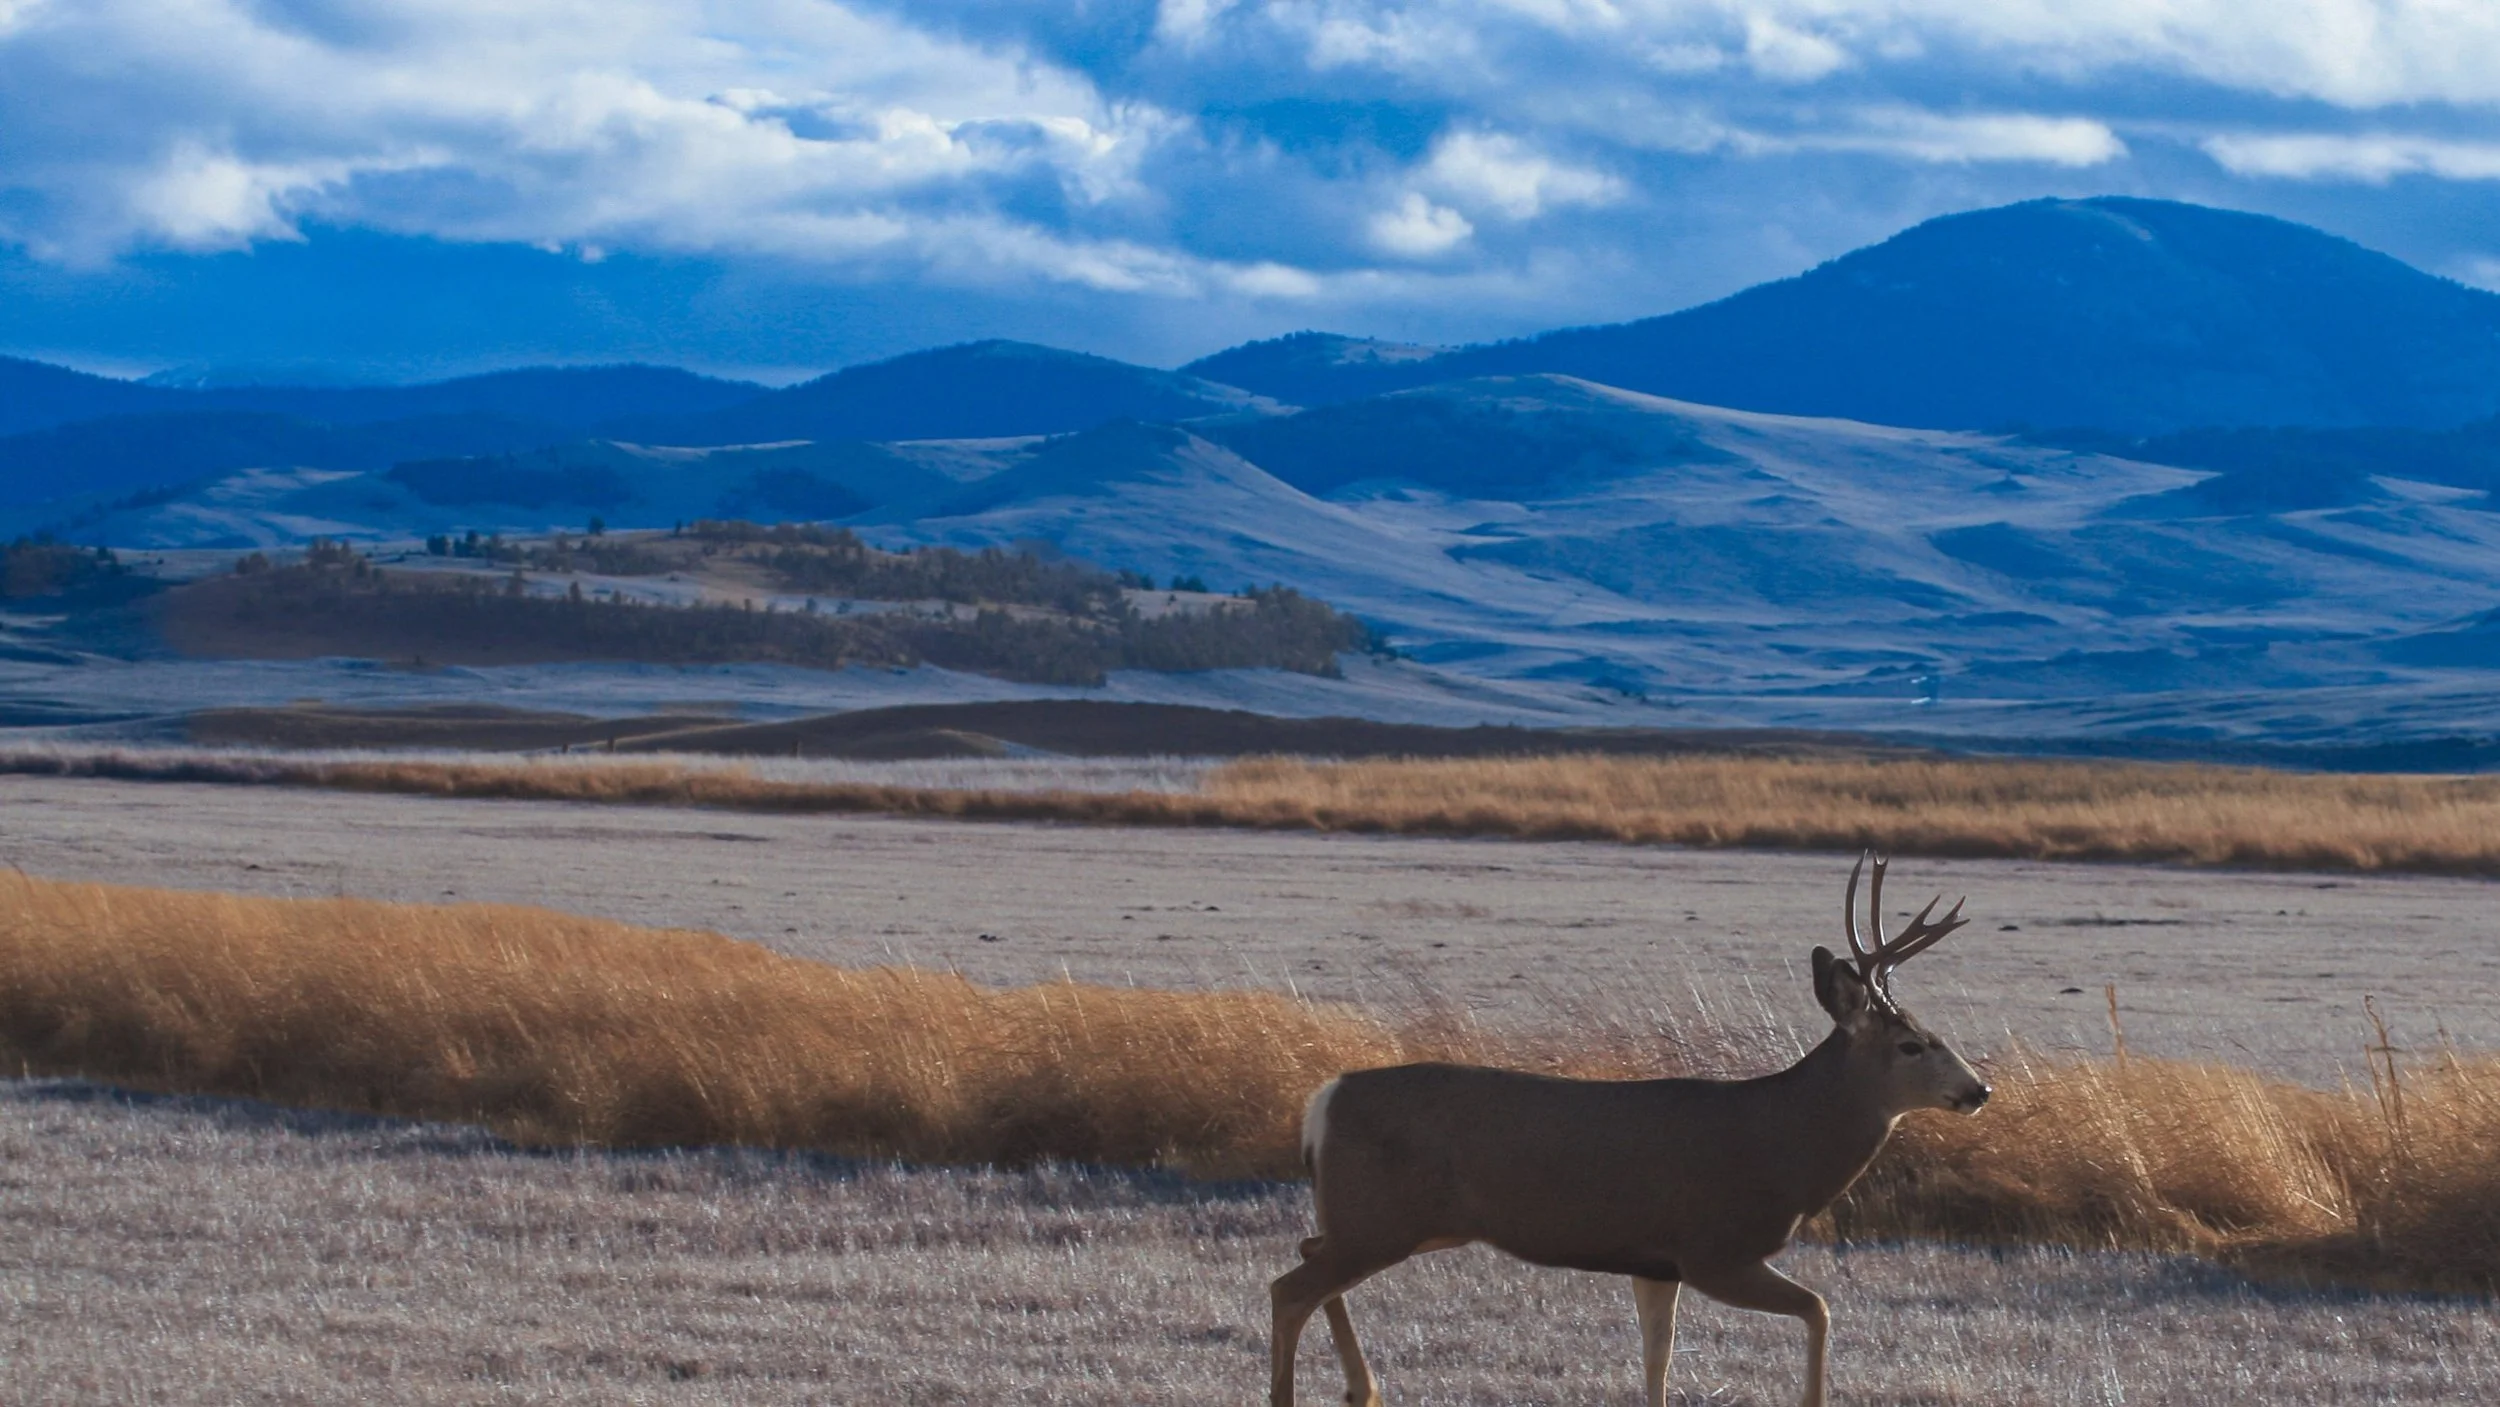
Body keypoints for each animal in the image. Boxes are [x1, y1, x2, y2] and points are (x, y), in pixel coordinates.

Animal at [1269, 853, 1990, 1407]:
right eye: (1912, 1044)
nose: (1978, 1090)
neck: (1784, 1144)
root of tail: (1323, 1100)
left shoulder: (1654, 1261)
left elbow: (1657, 1358)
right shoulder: (1714, 1248)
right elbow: (1819, 1307)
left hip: (1395, 1220)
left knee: (1308, 1255)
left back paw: (1363, 1389)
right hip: (1382, 1218)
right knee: (1290, 1288)